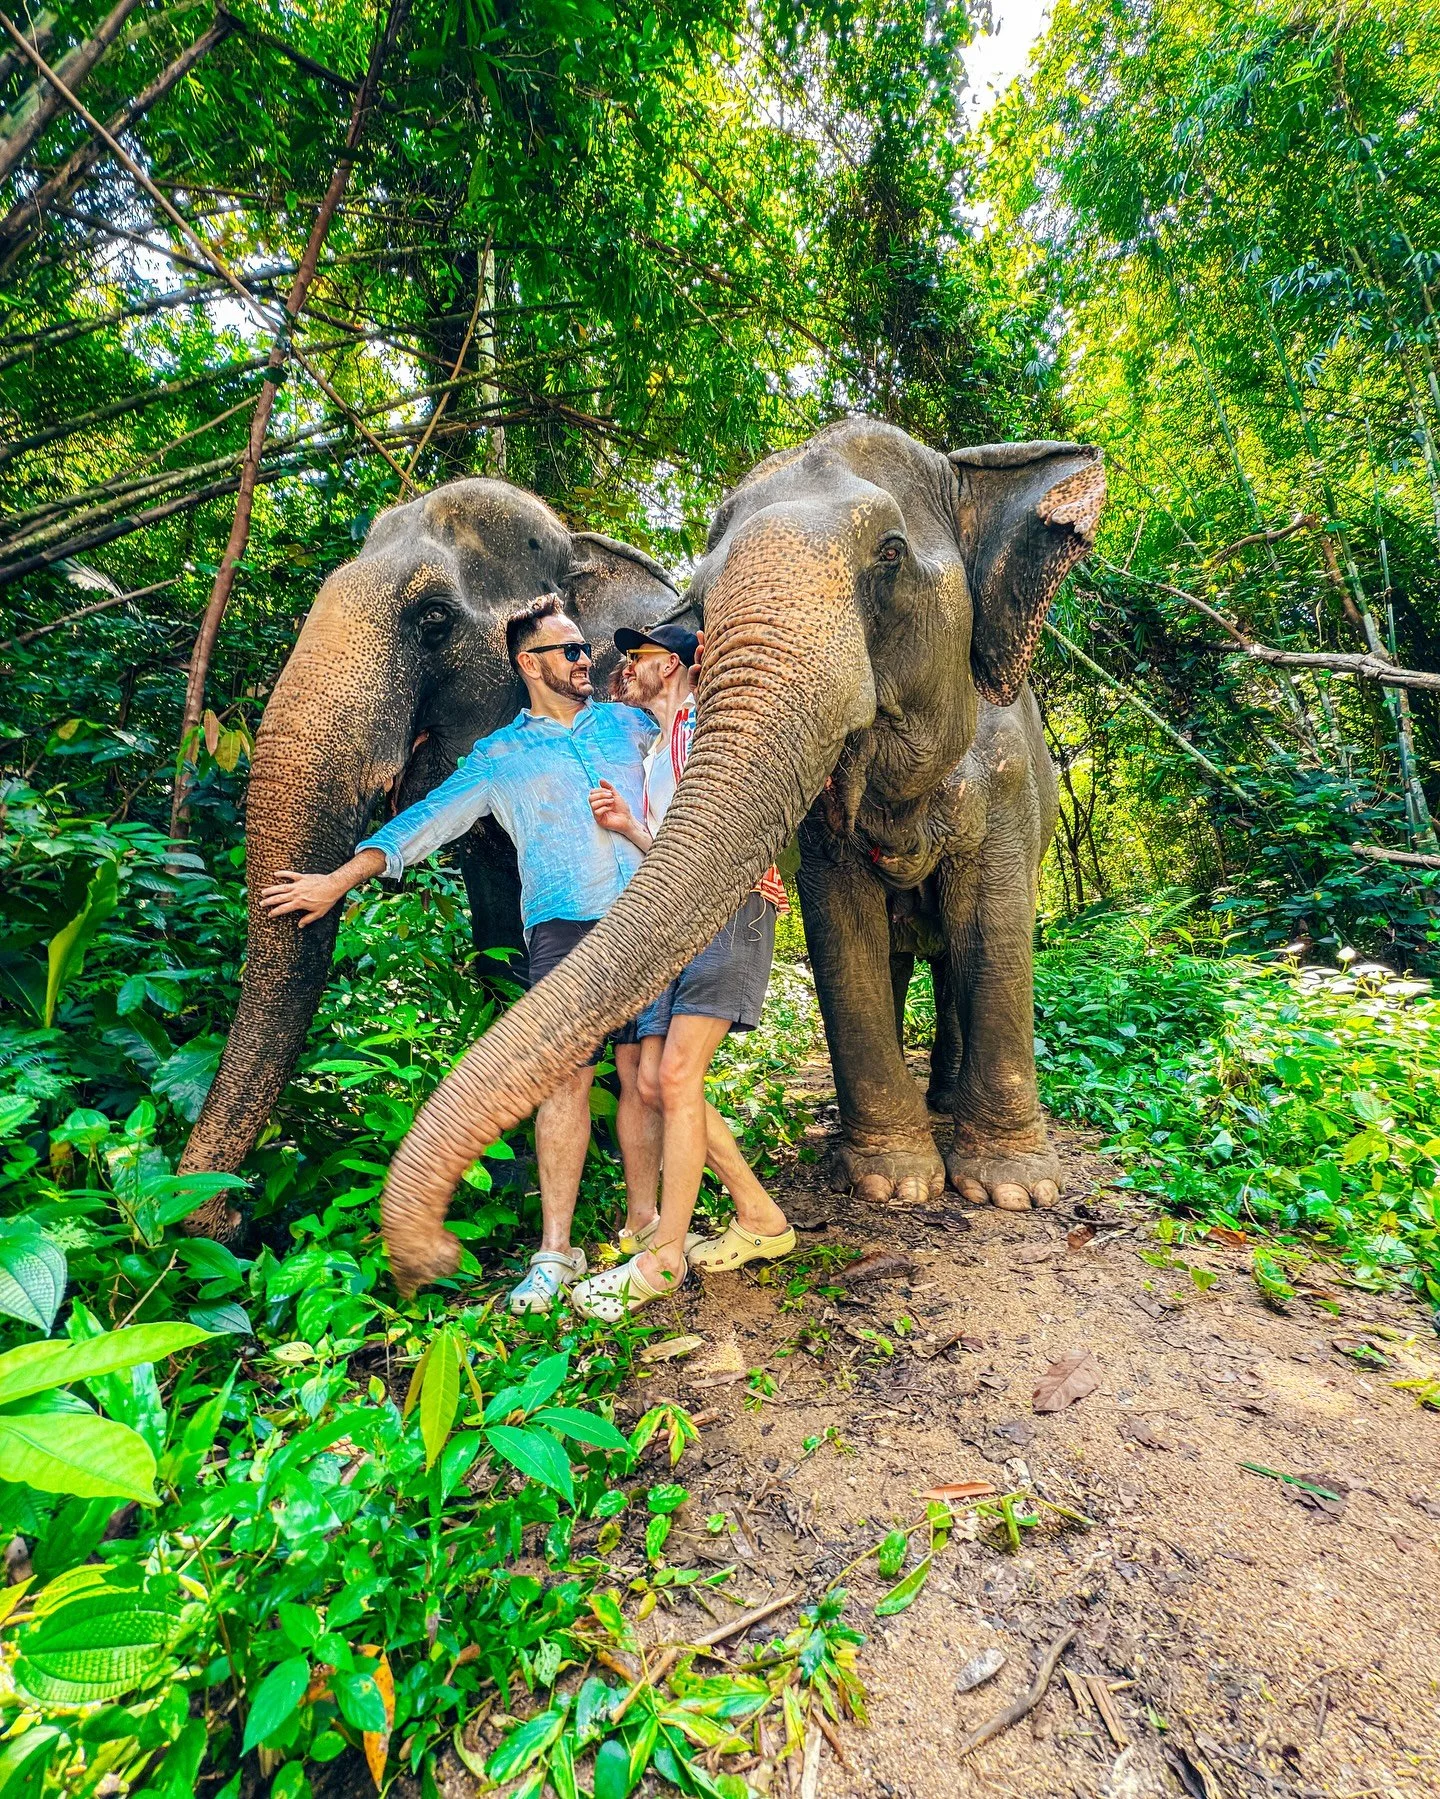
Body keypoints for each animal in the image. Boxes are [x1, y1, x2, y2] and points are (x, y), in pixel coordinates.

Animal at [375, 417, 1104, 1294]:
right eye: (701, 596)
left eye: (891, 553)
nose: (435, 1256)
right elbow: (842, 932)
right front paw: (893, 1181)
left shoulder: (1006, 779)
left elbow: (994, 931)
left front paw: (1012, 1190)